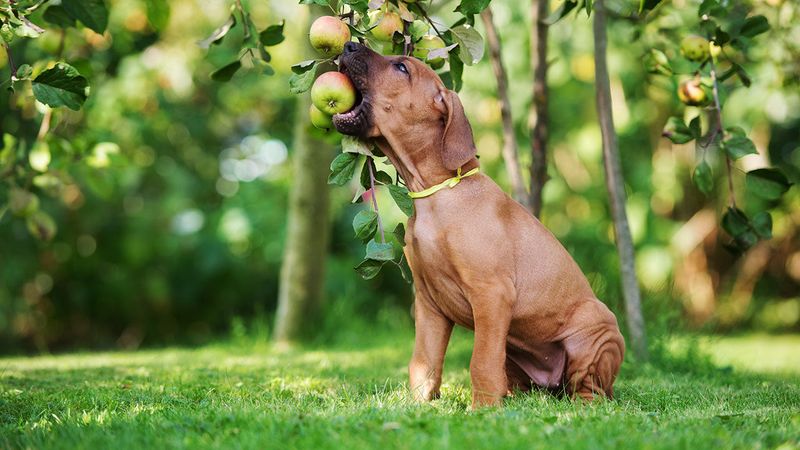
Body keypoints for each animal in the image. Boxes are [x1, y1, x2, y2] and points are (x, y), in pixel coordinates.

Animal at [332, 42, 624, 408]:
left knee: (591, 388)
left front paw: (482, 409)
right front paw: (417, 404)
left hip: (597, 332)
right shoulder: (428, 303)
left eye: (401, 68)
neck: (437, 194)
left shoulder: (492, 294)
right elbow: (424, 361)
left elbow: (480, 361)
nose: (348, 45)